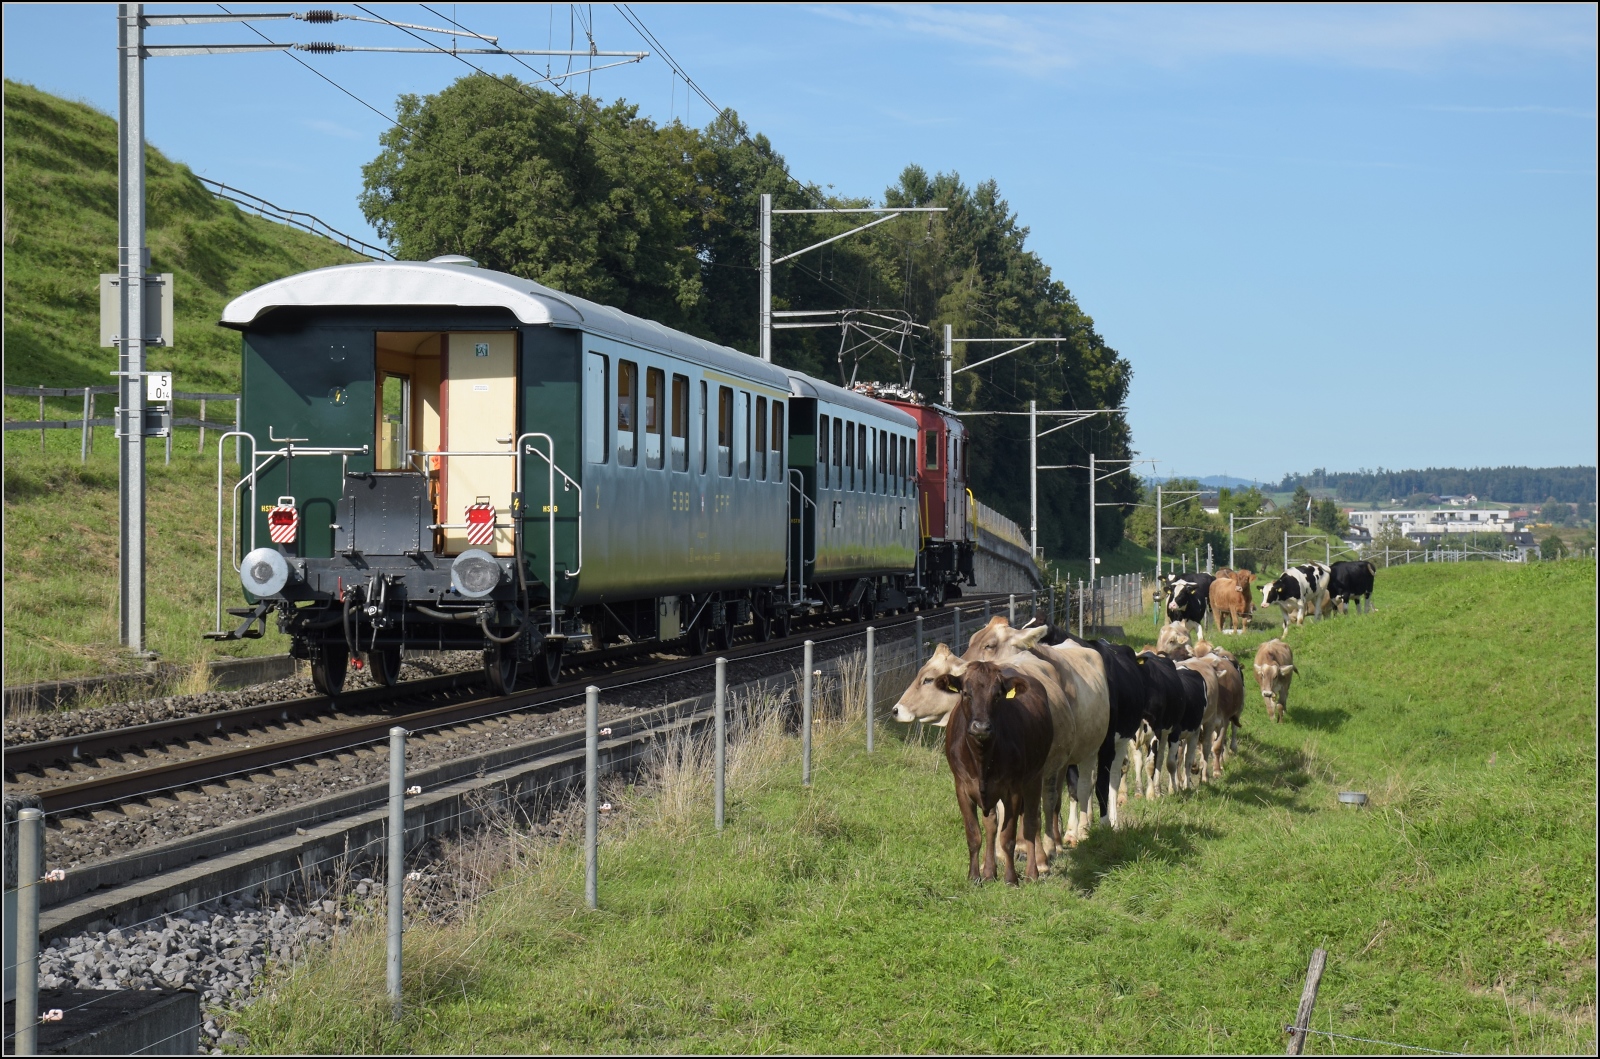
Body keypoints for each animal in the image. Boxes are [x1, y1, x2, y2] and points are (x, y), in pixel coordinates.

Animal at [941, 661, 1055, 885]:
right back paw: (989, 872)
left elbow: (1008, 837)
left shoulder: (1013, 790)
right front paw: (974, 876)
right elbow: (974, 834)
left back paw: (1033, 872)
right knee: (991, 825)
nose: (981, 727)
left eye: (997, 695)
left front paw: (1011, 879)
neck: (982, 758)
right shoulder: (962, 787)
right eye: (966, 693)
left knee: (1030, 823)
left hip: (1034, 777)